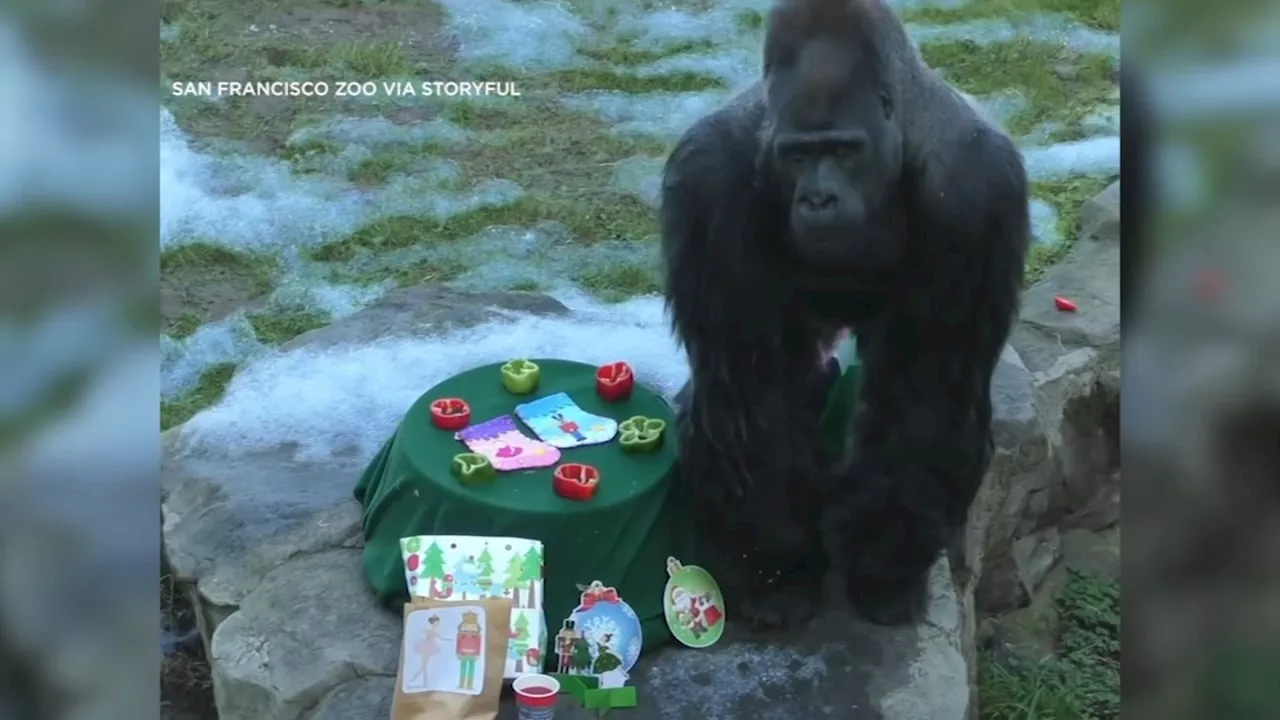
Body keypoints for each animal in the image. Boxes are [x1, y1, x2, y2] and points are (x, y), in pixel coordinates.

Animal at [660, 0, 1029, 625]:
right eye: (798, 155)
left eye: (843, 150)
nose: (818, 199)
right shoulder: (709, 184)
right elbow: (749, 396)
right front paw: (777, 565)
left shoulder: (977, 189)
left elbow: (926, 397)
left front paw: (883, 565)